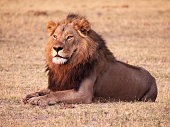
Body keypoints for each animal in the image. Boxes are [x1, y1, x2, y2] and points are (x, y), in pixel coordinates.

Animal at [22, 13, 158, 106]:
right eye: (55, 36)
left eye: (69, 37)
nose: (56, 48)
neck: (66, 66)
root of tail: (152, 78)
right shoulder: (60, 83)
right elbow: (45, 90)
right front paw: (30, 95)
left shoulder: (83, 94)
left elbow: (57, 94)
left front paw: (38, 100)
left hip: (147, 97)